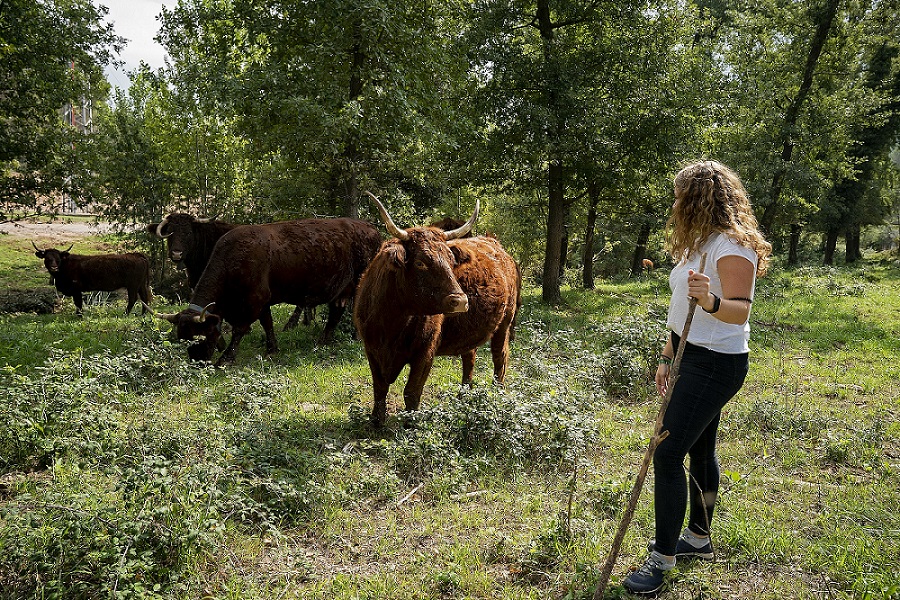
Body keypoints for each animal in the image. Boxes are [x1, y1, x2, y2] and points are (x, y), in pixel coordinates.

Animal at [354, 193, 520, 426]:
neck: (392, 322)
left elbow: (411, 391)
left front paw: (411, 424)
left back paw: (498, 395)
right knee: (469, 357)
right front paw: (376, 422)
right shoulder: (371, 348)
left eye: (451, 261)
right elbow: (380, 387)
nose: (460, 301)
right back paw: (463, 396)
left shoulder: (425, 351)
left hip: (504, 323)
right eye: (420, 263)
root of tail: (494, 242)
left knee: (500, 358)